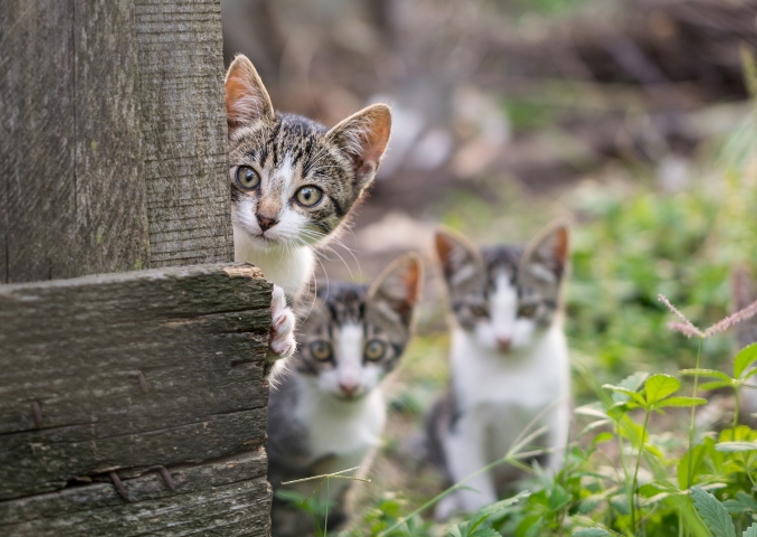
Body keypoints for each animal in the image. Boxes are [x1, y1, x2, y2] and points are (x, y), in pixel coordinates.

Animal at [428, 223, 568, 520]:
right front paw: (485, 515)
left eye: (528, 309)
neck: (510, 368)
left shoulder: (555, 413)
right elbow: (474, 483)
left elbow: (554, 461)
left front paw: (550, 497)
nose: (504, 339)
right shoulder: (461, 425)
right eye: (479, 310)